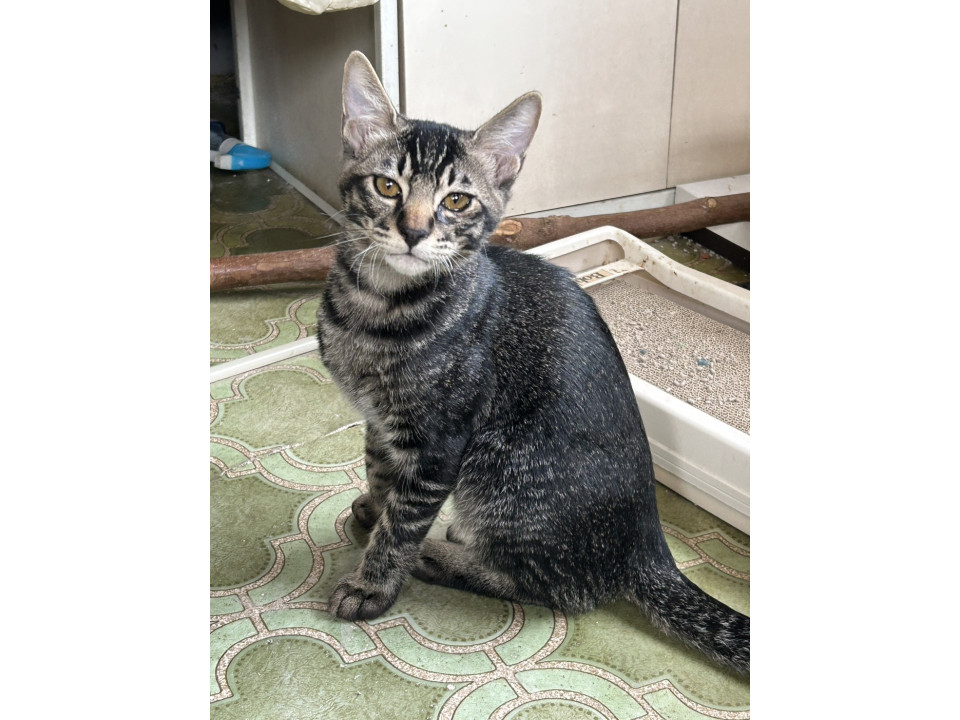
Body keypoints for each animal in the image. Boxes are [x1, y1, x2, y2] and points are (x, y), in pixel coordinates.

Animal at [317, 51, 749, 674]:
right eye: (386, 185)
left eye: (457, 201)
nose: (415, 231)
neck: (375, 306)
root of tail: (651, 547)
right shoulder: (380, 420)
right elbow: (378, 469)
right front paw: (372, 508)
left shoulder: (439, 443)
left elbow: (402, 521)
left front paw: (373, 582)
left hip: (497, 468)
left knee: (558, 587)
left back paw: (441, 557)